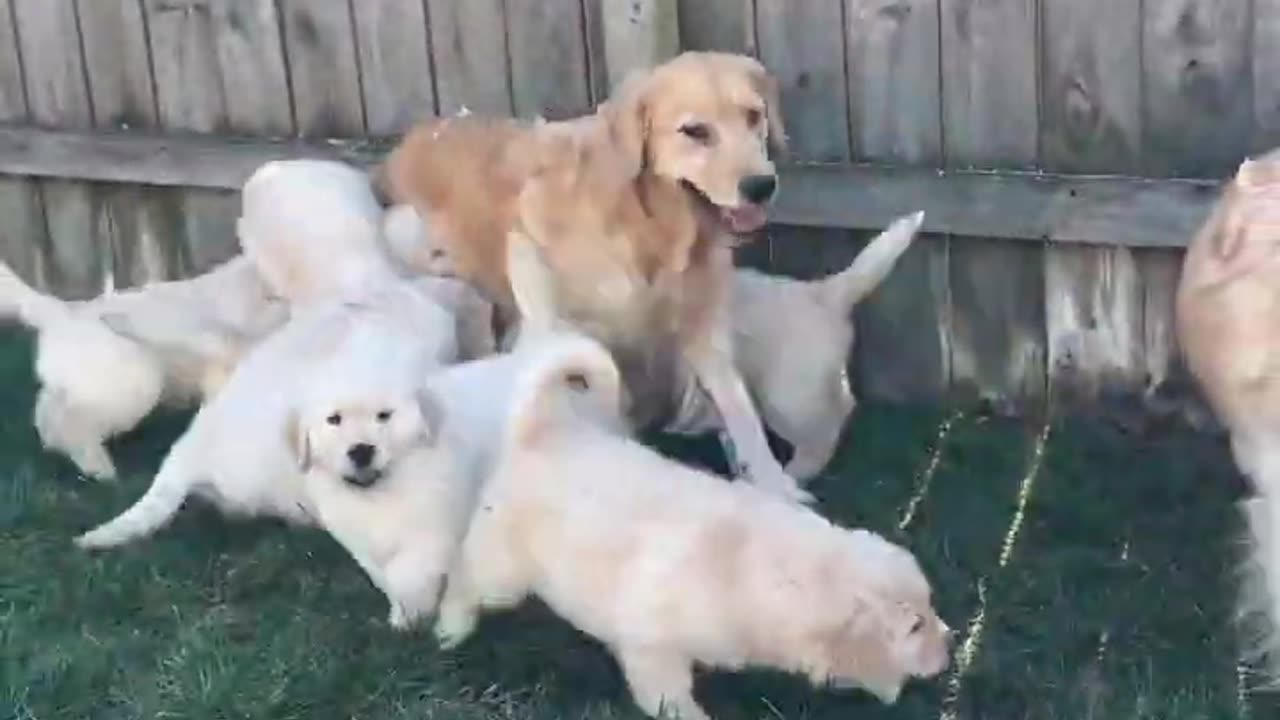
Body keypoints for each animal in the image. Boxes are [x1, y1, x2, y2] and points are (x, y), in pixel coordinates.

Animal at [373, 51, 808, 499]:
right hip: (411, 234)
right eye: (694, 131)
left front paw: (775, 484)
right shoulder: (546, 296)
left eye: (753, 116)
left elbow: (739, 409)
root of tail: (415, 134)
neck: (649, 224)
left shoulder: (704, 328)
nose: (761, 185)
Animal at [437, 279, 952, 712]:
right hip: (503, 569)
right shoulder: (652, 648)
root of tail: (544, 426)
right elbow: (670, 698)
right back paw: (449, 629)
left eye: (930, 607)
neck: (767, 569)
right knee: (466, 578)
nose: (949, 643)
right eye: (914, 627)